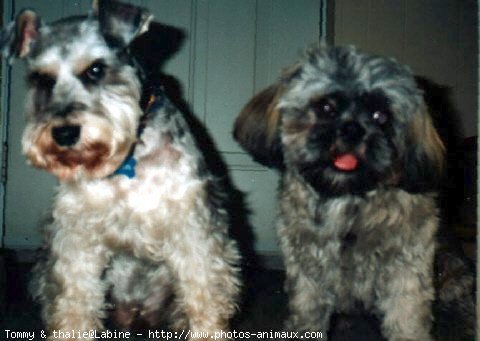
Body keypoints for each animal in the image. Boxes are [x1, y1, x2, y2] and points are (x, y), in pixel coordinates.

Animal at [0, 1, 240, 338]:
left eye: (96, 69)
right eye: (42, 79)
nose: (64, 133)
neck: (127, 162)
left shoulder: (192, 228)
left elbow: (203, 295)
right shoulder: (77, 236)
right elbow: (76, 302)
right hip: (46, 273)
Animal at [234, 45, 444, 340]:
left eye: (380, 116)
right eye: (326, 107)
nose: (352, 129)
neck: (348, 199)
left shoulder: (406, 274)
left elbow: (407, 323)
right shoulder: (308, 276)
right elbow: (307, 319)